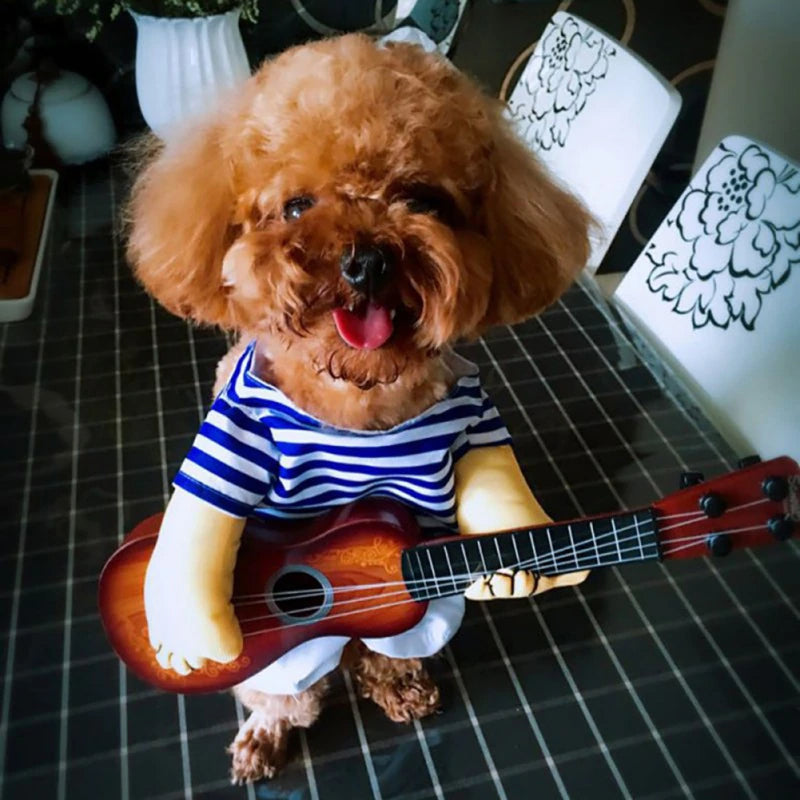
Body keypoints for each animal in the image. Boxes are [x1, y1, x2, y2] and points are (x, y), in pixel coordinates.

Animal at [123, 34, 588, 784]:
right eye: (295, 206)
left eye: (423, 200)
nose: (367, 260)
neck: (357, 396)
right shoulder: (237, 430)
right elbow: (204, 521)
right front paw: (187, 633)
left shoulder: (472, 415)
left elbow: (496, 505)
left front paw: (526, 570)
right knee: (291, 686)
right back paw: (267, 731)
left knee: (386, 646)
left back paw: (397, 683)